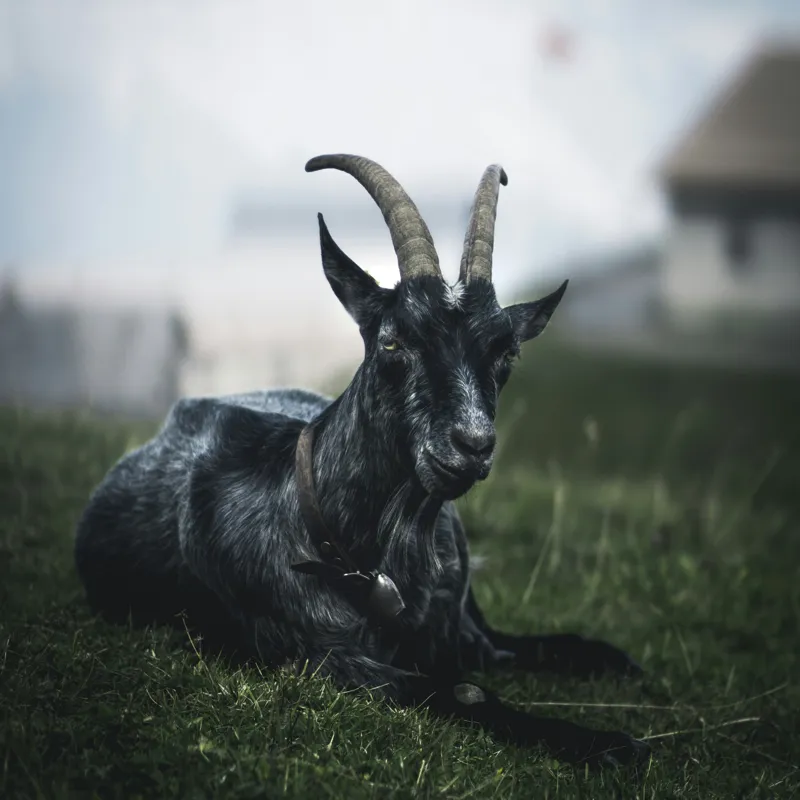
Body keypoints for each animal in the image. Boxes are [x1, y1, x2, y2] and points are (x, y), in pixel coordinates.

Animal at [74, 154, 651, 770]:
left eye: (507, 351)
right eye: (394, 341)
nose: (471, 444)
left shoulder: (459, 633)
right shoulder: (321, 658)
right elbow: (466, 692)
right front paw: (609, 743)